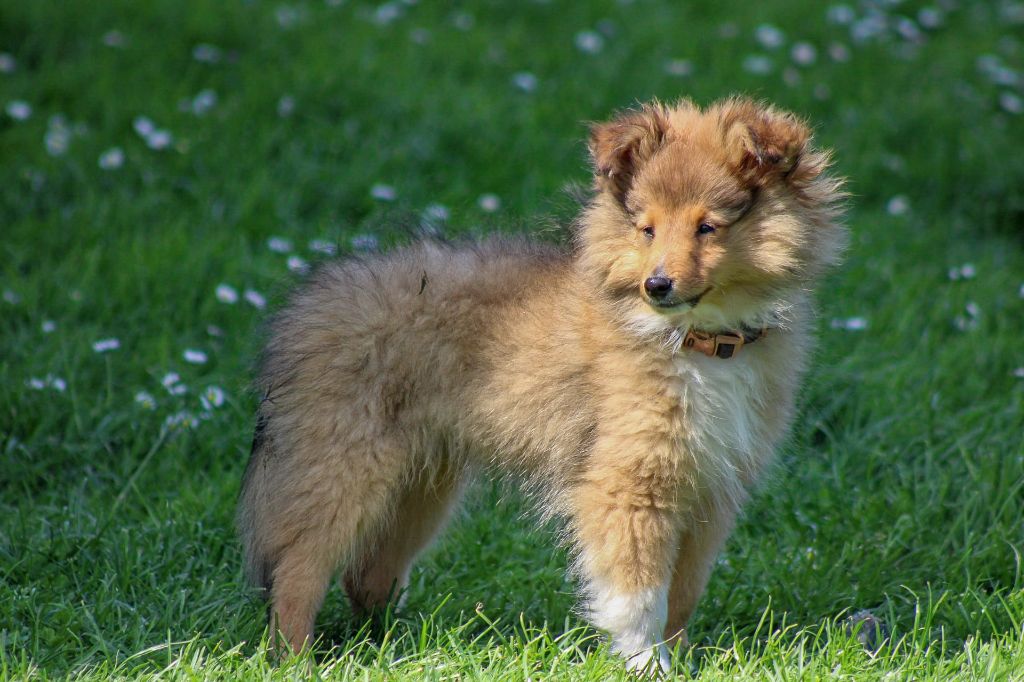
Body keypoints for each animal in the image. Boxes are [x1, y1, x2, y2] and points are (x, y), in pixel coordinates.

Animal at [235, 98, 843, 671]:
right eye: (646, 228)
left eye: (708, 226)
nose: (657, 285)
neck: (698, 340)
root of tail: (303, 309)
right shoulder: (629, 484)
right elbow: (640, 595)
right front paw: (648, 663)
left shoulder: (712, 488)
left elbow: (683, 595)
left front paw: (684, 657)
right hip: (343, 467)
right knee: (298, 568)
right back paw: (296, 658)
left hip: (419, 484)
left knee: (365, 576)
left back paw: (399, 646)